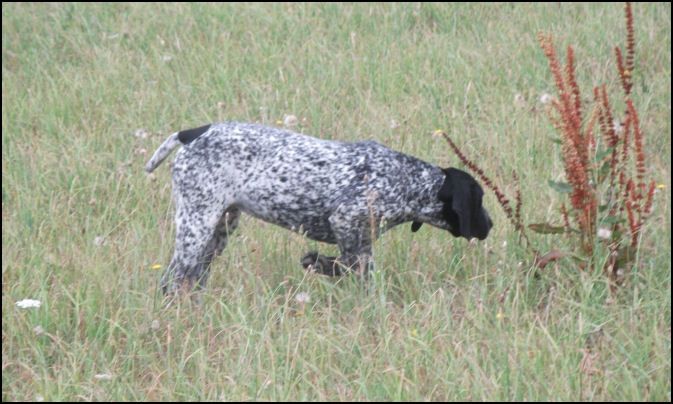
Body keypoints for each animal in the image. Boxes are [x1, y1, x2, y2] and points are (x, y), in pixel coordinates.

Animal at [147, 120, 490, 294]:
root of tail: (193, 133)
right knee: (172, 279)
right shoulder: (346, 220)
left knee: (193, 278)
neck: (407, 180)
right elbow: (352, 266)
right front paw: (320, 264)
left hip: (219, 230)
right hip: (197, 225)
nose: (490, 225)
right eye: (480, 201)